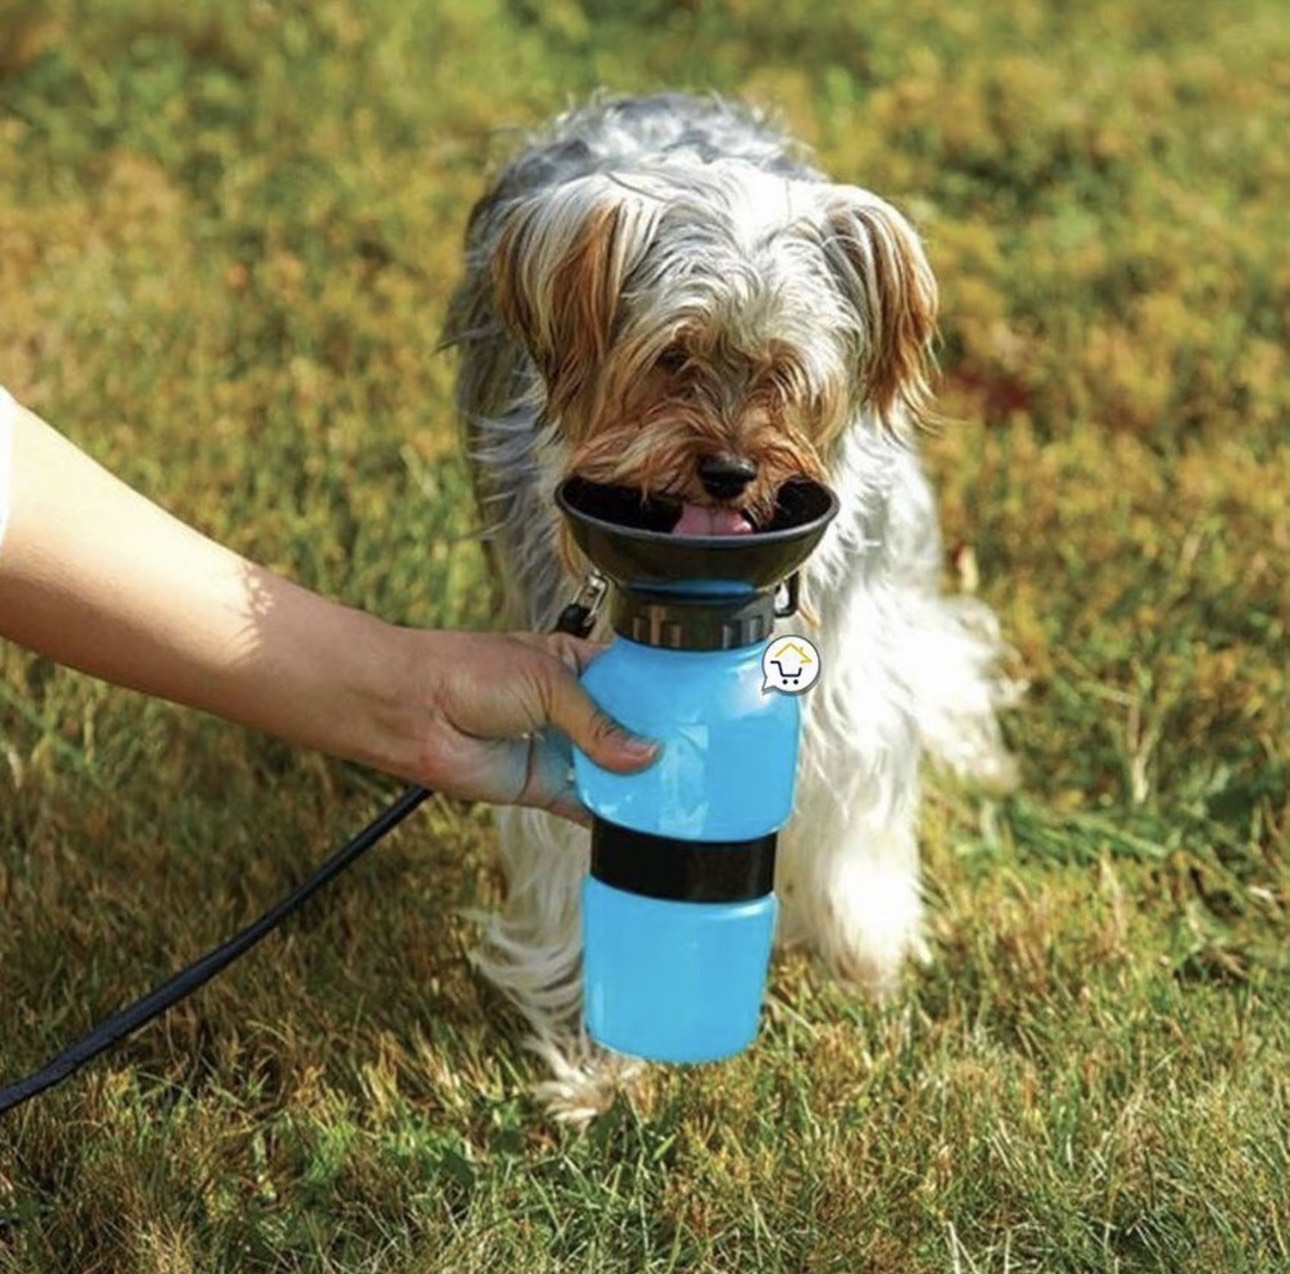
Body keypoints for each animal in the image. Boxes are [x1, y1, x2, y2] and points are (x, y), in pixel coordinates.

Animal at [443, 92, 1016, 1124]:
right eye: (672, 358)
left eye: (787, 371)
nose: (731, 470)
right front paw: (600, 1061)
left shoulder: (843, 677)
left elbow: (851, 808)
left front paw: (863, 961)